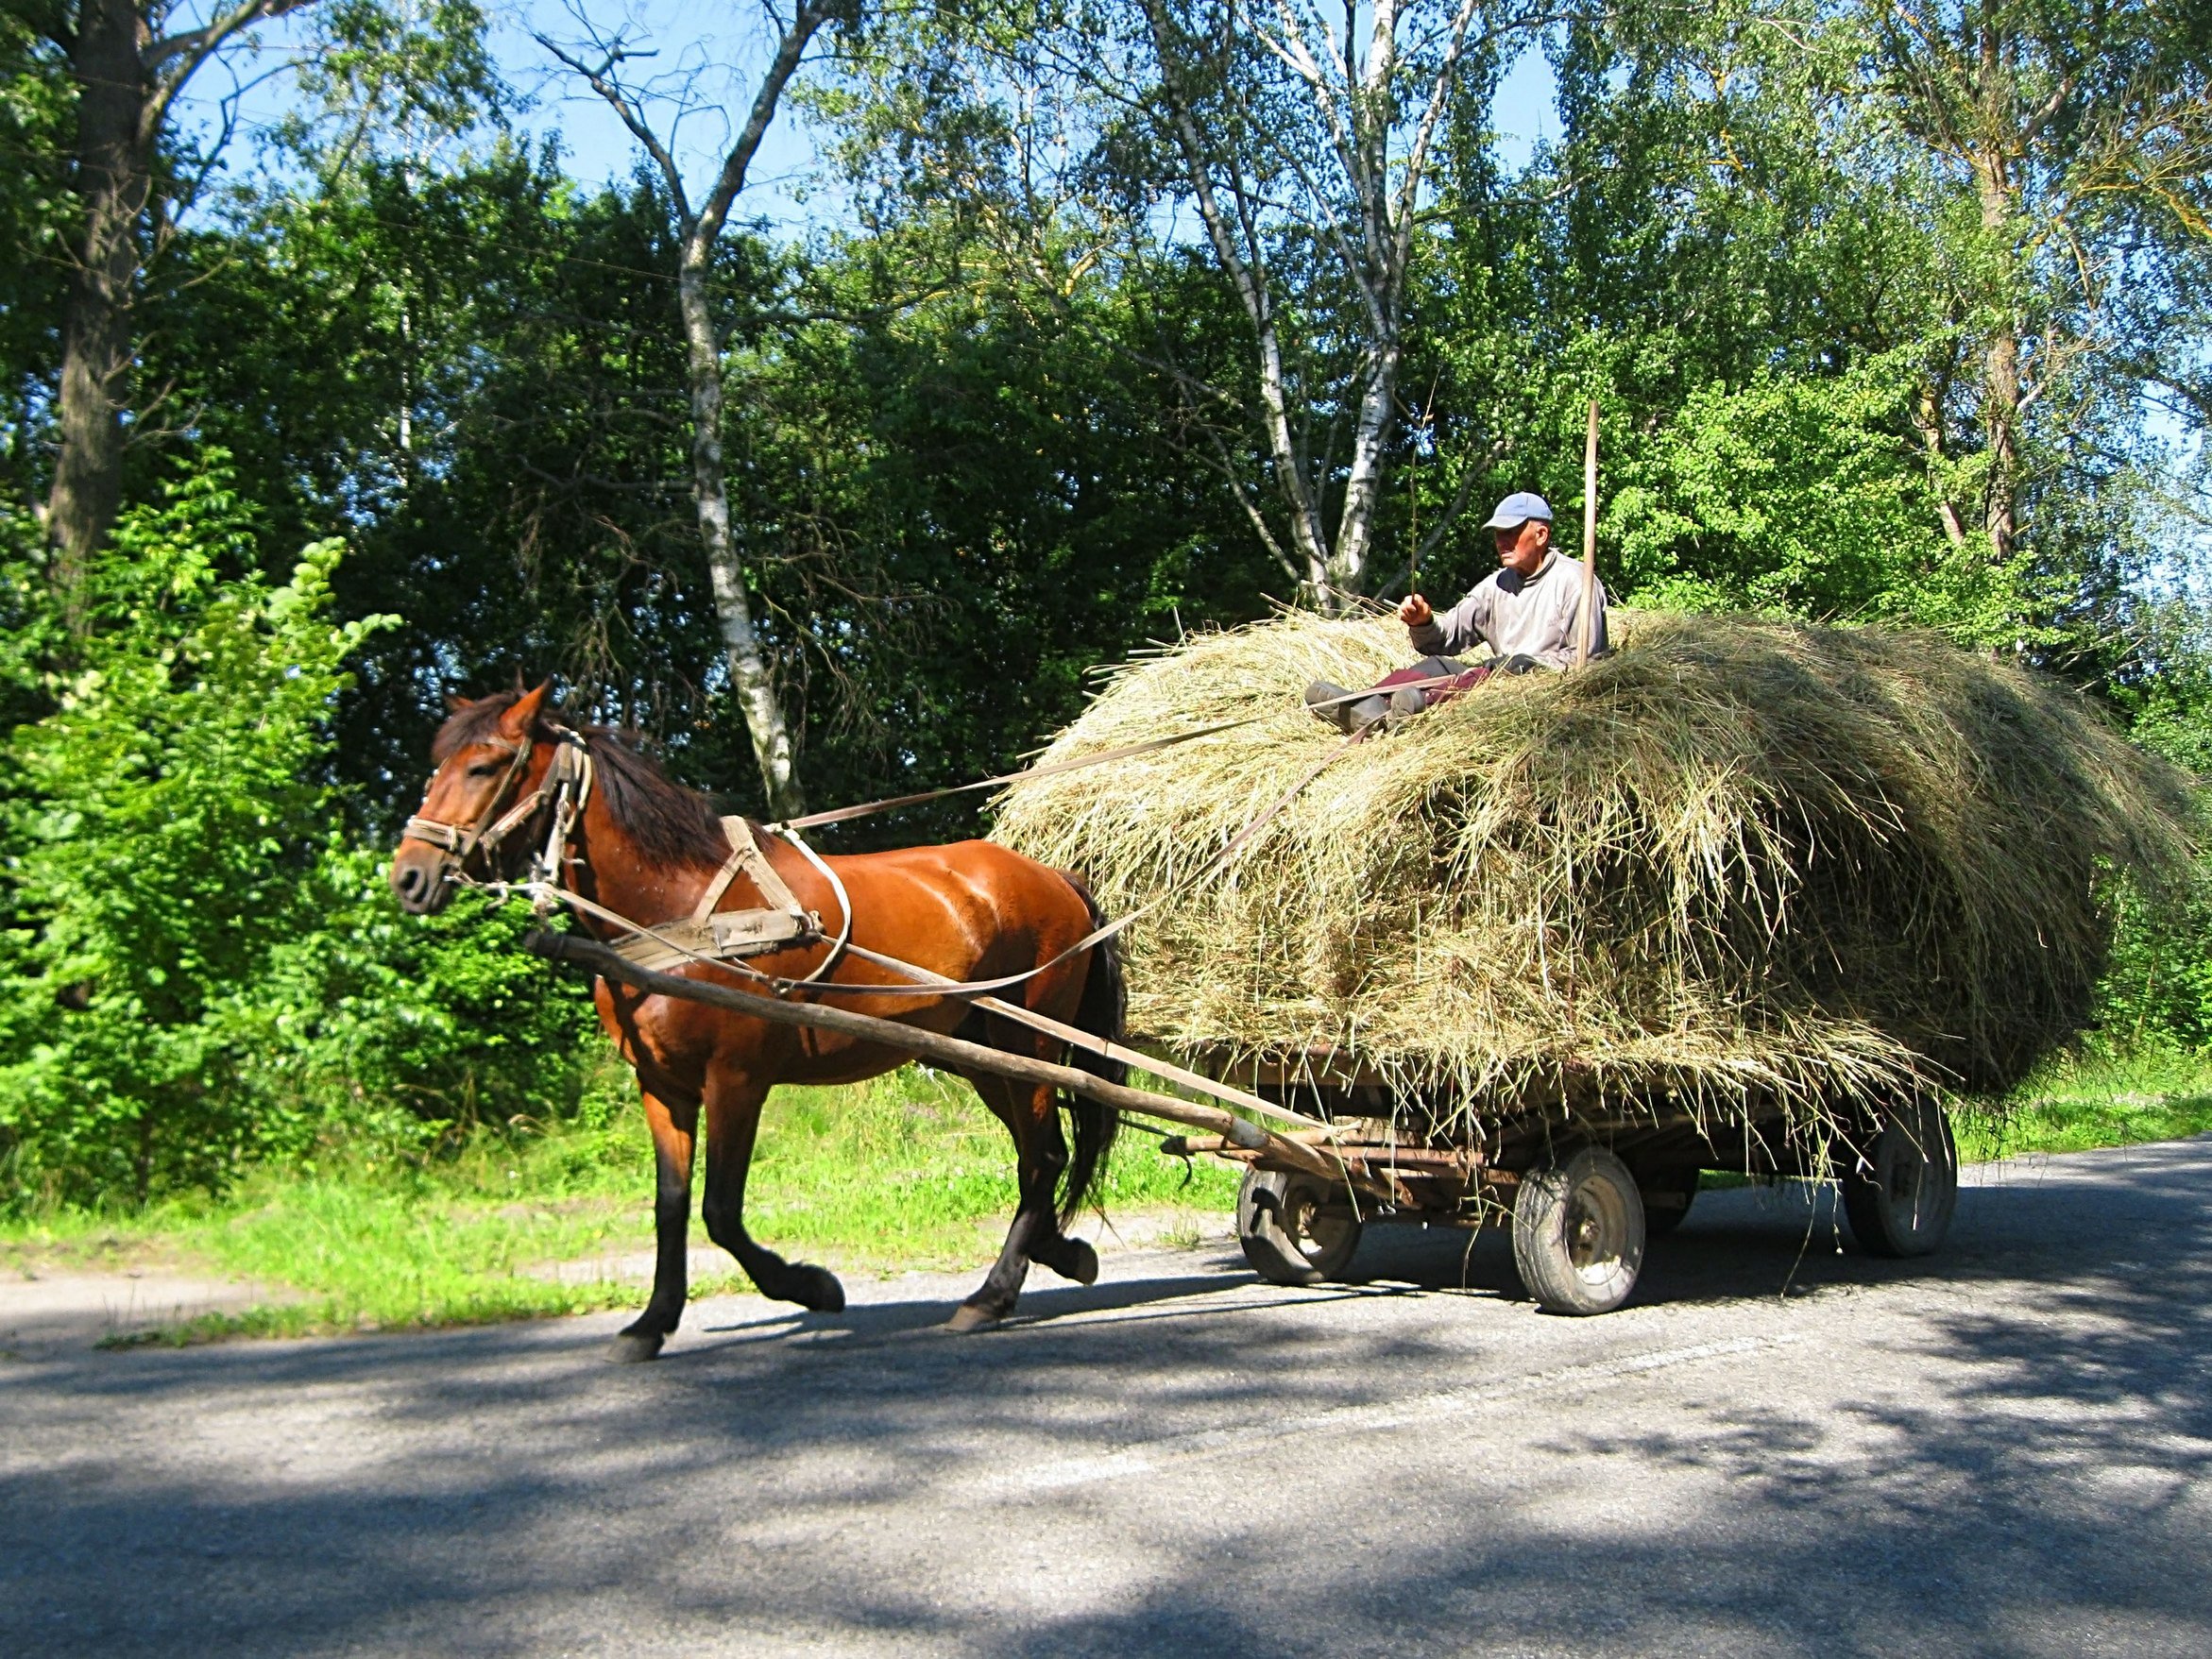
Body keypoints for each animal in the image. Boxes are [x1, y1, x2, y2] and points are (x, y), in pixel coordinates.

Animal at [384, 686, 1123, 1363]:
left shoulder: (735, 1079)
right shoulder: (663, 1087)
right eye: (438, 765)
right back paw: (1058, 1254)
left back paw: (991, 1295)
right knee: (1041, 1156)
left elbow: (720, 1210)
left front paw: (810, 1285)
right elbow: (671, 1206)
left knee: (1042, 1156)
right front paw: (651, 1321)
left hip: (1030, 1041)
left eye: (485, 766)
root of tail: (1054, 875)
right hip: (981, 1053)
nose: (409, 878)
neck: (682, 911)